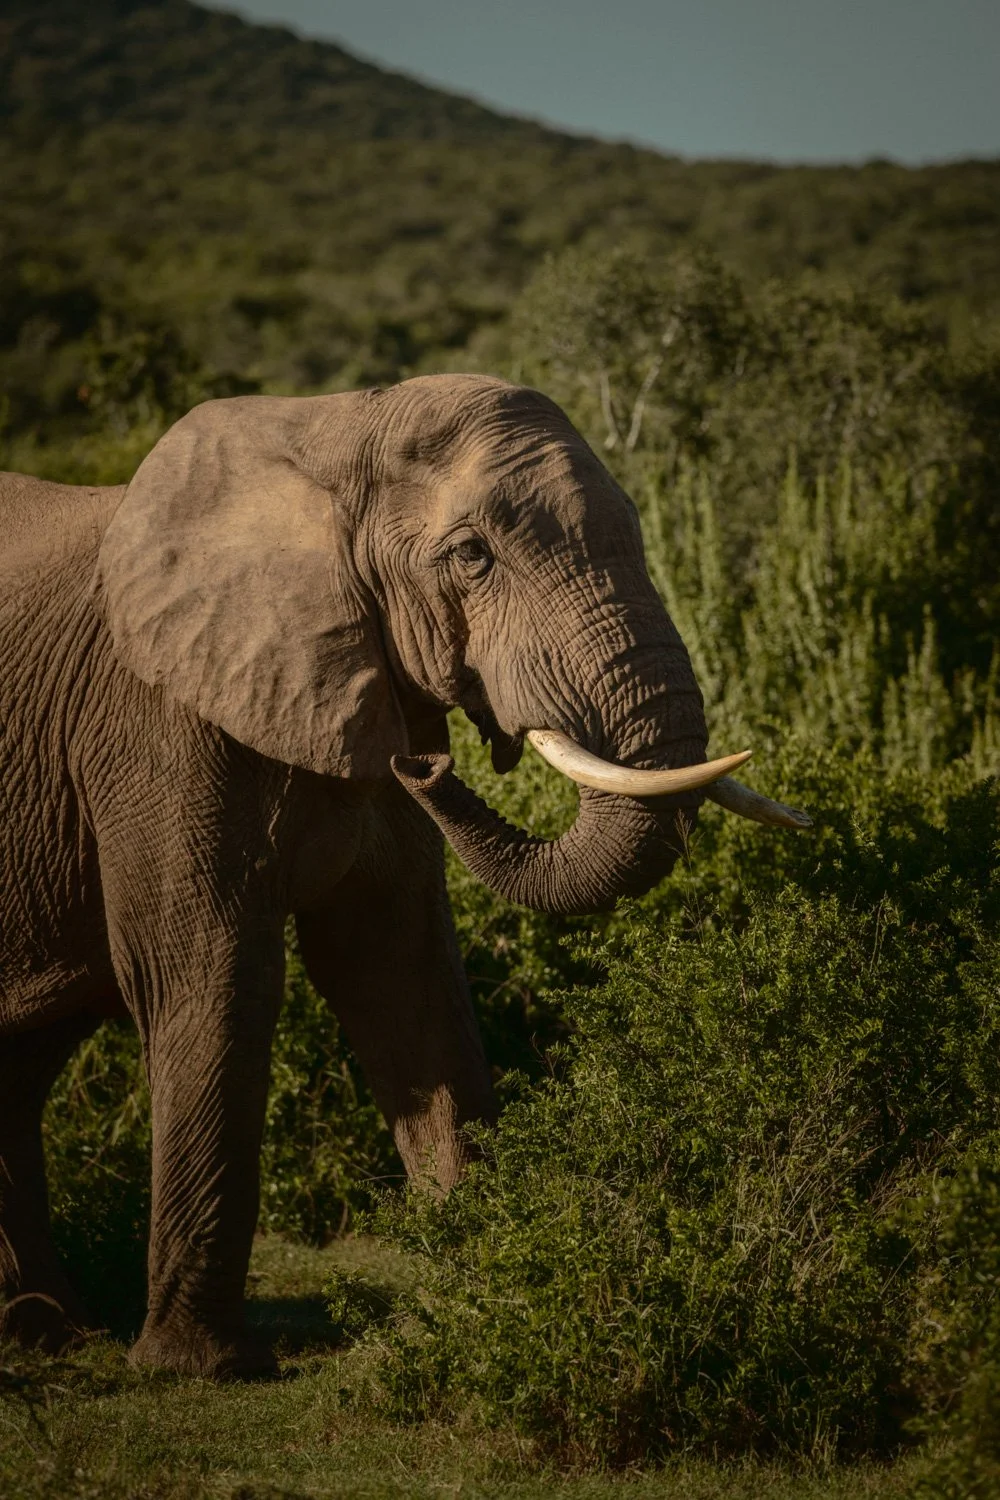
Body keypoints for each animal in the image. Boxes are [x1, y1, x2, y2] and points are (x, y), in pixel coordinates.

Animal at [0, 374, 806, 1377]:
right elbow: (211, 975)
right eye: (471, 558)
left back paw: (44, 1335)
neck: (333, 426)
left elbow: (399, 972)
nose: (429, 766)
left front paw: (492, 1292)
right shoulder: (155, 729)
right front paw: (194, 1370)